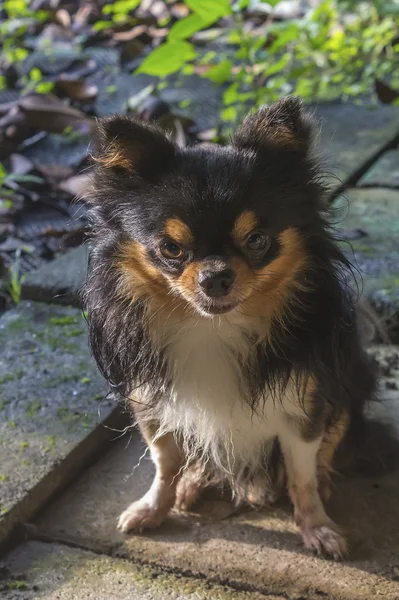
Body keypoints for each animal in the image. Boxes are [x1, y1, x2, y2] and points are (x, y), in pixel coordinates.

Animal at [83, 96, 376, 560]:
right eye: (171, 248)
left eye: (257, 240)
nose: (216, 276)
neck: (213, 327)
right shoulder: (153, 403)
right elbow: (164, 462)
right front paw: (155, 507)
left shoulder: (304, 406)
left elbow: (302, 474)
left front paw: (317, 527)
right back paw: (193, 484)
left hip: (350, 388)